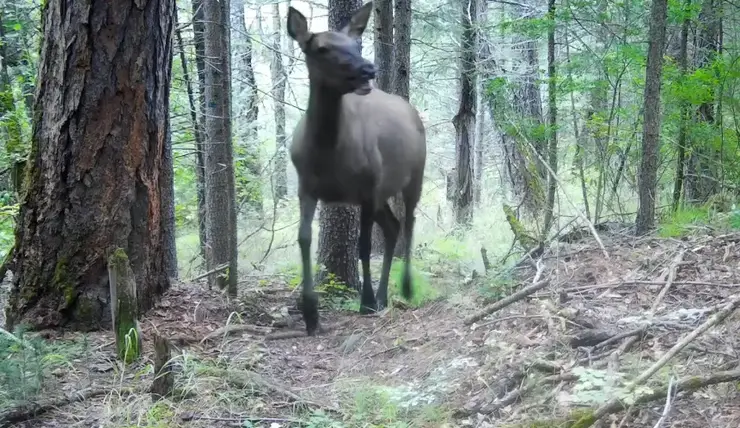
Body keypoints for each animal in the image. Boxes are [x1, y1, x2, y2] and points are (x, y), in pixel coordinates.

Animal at [290, 1, 428, 336]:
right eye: (322, 48)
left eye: (357, 43)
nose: (368, 69)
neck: (327, 154)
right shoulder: (306, 187)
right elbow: (304, 239)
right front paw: (310, 313)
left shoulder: (367, 187)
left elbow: (363, 246)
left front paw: (364, 302)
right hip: (381, 194)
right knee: (392, 226)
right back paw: (383, 295)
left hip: (413, 177)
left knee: (409, 223)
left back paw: (404, 288)